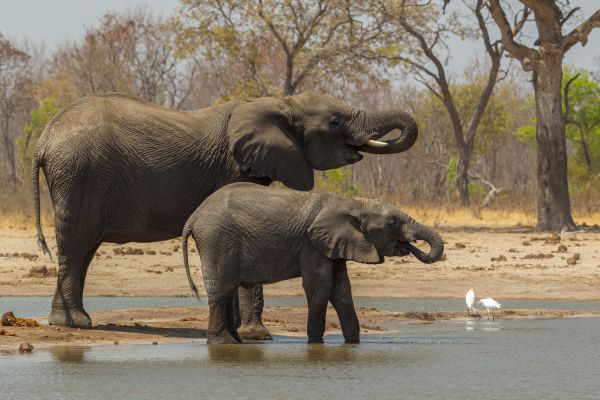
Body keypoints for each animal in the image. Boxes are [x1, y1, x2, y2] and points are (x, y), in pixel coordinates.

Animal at [31, 90, 418, 334]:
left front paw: (241, 334)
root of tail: (44, 137)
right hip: (78, 174)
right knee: (76, 246)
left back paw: (65, 322)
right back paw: (77, 324)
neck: (280, 102)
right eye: (336, 121)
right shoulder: (233, 167)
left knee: (81, 249)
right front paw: (254, 337)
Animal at [182, 183, 440, 342]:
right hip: (217, 240)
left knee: (227, 291)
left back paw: (235, 343)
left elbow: (342, 289)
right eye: (392, 223)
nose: (410, 246)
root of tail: (194, 216)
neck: (353, 203)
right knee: (221, 291)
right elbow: (320, 286)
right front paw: (315, 344)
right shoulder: (311, 243)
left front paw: (353, 344)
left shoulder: (334, 244)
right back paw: (223, 343)